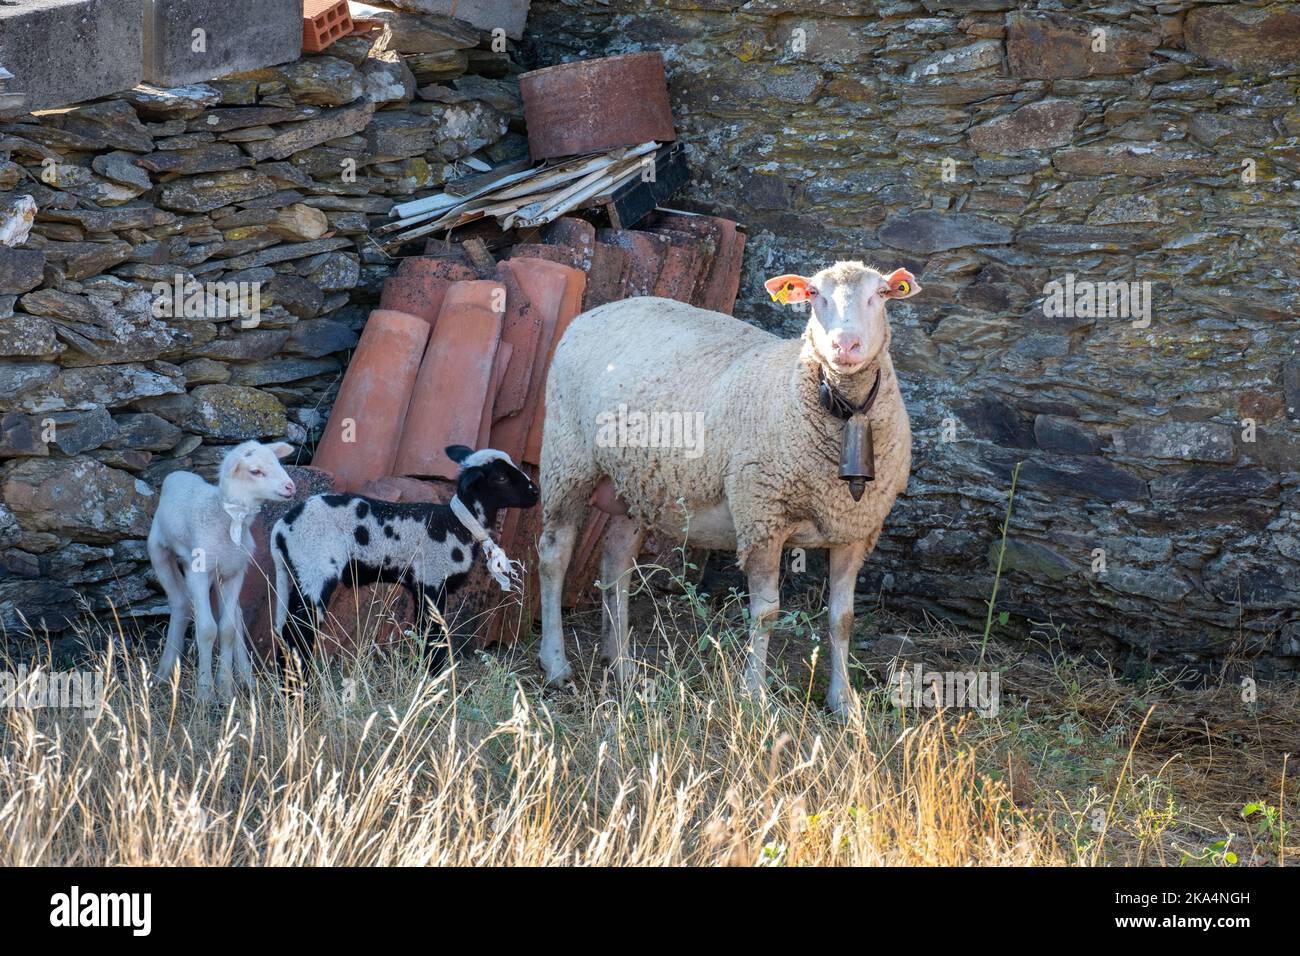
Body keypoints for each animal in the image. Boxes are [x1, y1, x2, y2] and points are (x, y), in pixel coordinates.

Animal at [148, 442, 297, 702]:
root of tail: (179, 474)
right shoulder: (198, 572)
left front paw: (226, 691)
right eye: (255, 471)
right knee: (180, 602)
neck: (226, 517)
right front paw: (205, 694)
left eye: (277, 462)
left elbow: (227, 629)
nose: (290, 487)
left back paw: (246, 677)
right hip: (159, 551)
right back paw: (164, 673)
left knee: (235, 615)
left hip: (222, 571)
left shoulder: (235, 573)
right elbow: (207, 629)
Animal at [274, 444, 538, 671]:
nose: (535, 493)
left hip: (298, 576)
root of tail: (282, 527)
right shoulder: (431, 582)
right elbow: (433, 635)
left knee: (285, 631)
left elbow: (424, 633)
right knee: (298, 631)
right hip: (315, 571)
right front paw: (434, 677)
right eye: (500, 478)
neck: (457, 524)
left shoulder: (420, 587)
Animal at [533, 261, 920, 717]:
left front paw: (843, 704)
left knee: (616, 563)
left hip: (635, 484)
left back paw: (623, 665)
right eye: (813, 295)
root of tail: (594, 313)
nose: (845, 345)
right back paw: (556, 664)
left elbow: (842, 619)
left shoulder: (855, 529)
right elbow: (766, 613)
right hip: (567, 458)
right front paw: (755, 696)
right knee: (554, 555)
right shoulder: (762, 516)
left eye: (880, 294)